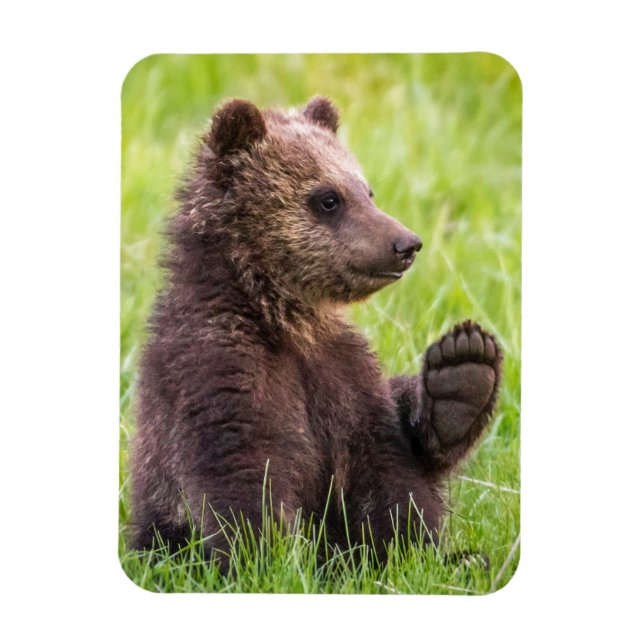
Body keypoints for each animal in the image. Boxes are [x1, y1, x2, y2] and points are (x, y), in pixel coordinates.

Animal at [128, 96, 502, 570]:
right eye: (328, 198)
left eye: (366, 190)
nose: (406, 243)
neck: (284, 318)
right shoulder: (219, 364)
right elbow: (243, 468)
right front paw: (266, 557)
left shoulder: (343, 373)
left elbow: (388, 471)